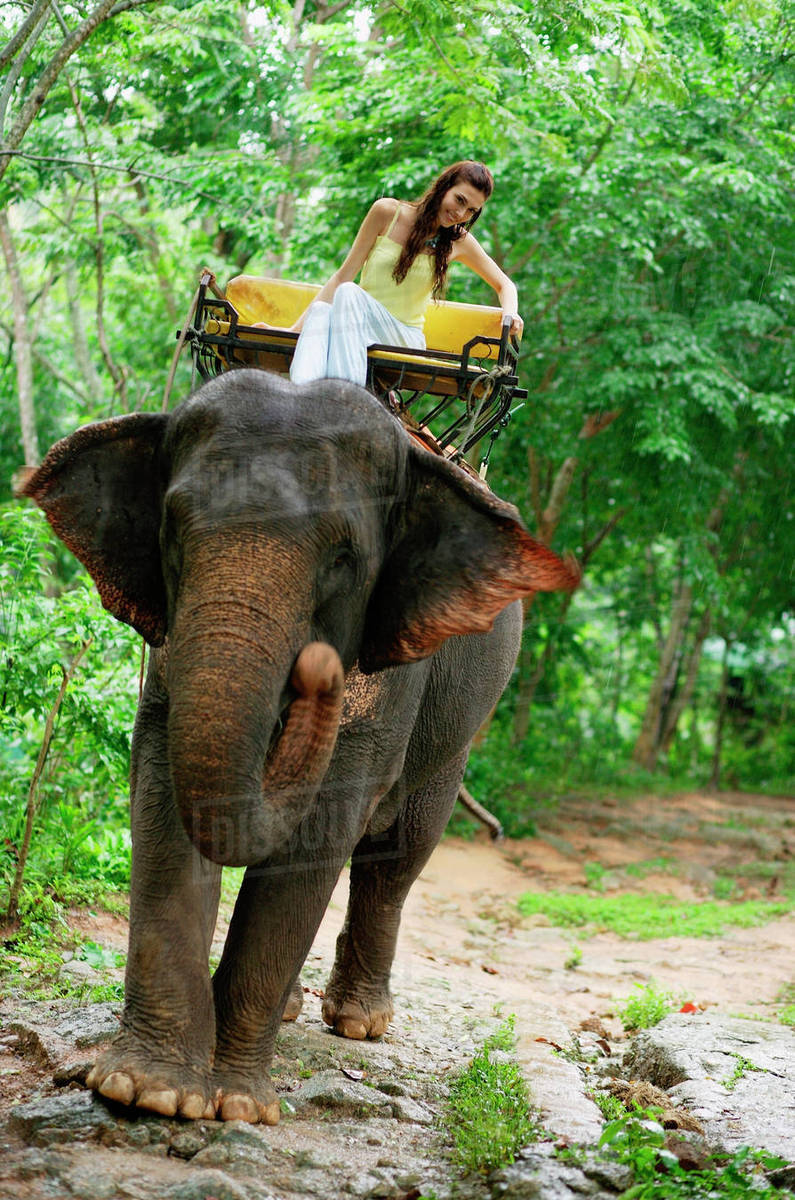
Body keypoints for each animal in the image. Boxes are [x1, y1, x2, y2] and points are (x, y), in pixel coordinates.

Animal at [21, 369, 578, 1125]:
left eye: (344, 558)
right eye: (172, 530)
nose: (314, 669)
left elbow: (321, 829)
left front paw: (233, 1106)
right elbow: (165, 798)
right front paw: (148, 1091)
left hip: (455, 733)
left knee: (397, 858)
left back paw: (358, 1023)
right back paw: (291, 1015)